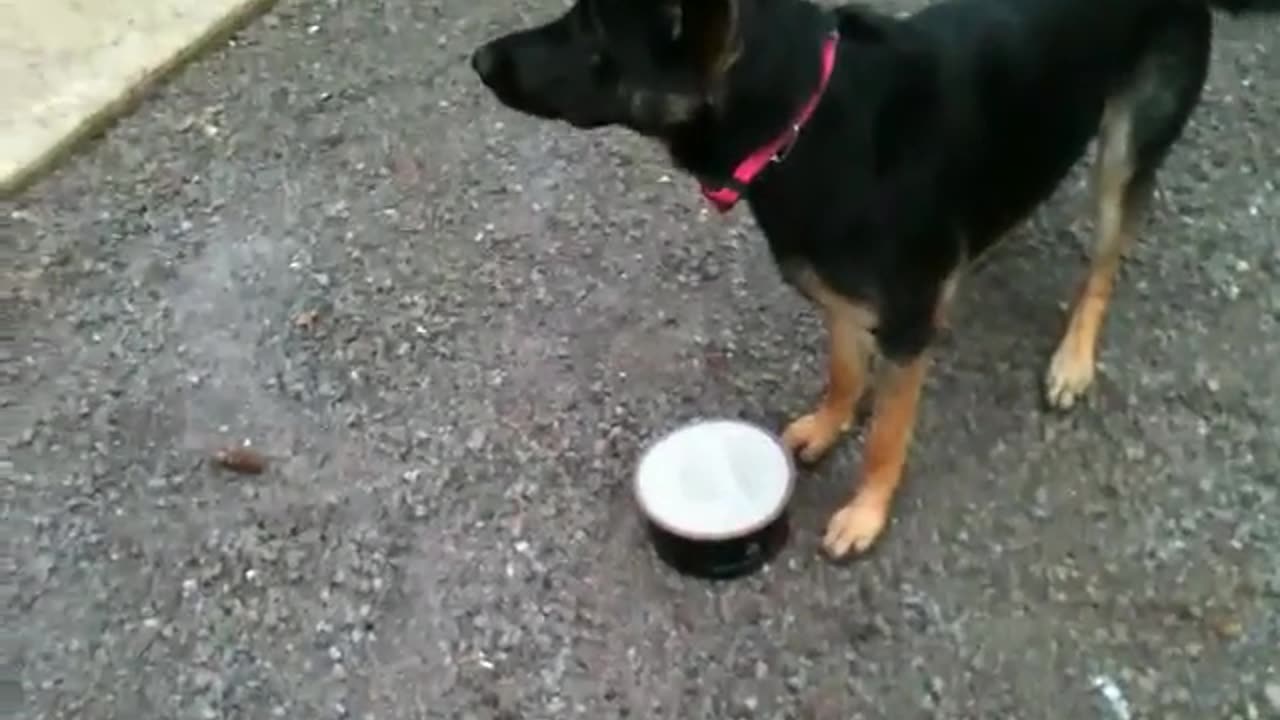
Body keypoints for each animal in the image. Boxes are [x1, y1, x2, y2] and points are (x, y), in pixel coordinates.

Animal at [473, 0, 1280, 556]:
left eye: (592, 34)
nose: (479, 60)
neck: (804, 118)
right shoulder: (841, 299)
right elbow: (842, 370)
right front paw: (830, 423)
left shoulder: (904, 327)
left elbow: (888, 431)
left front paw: (867, 510)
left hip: (1125, 146)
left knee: (1106, 262)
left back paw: (1073, 359)